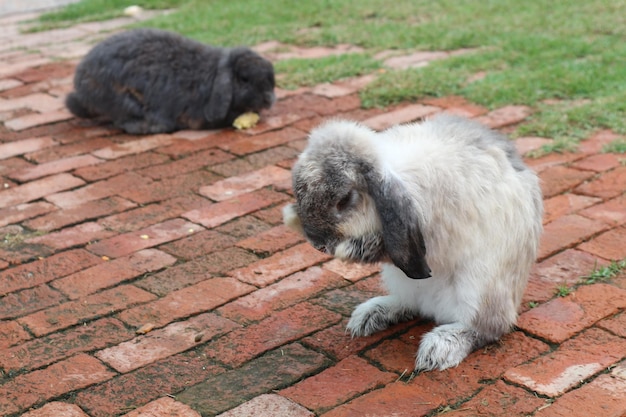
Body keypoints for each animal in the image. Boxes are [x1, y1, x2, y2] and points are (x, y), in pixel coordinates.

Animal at [282, 114, 540, 370]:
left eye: (344, 200)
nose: (318, 243)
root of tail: (436, 308)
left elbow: (374, 247)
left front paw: (343, 249)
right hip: (401, 280)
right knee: (410, 305)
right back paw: (370, 316)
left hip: (480, 289)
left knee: (487, 329)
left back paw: (438, 349)